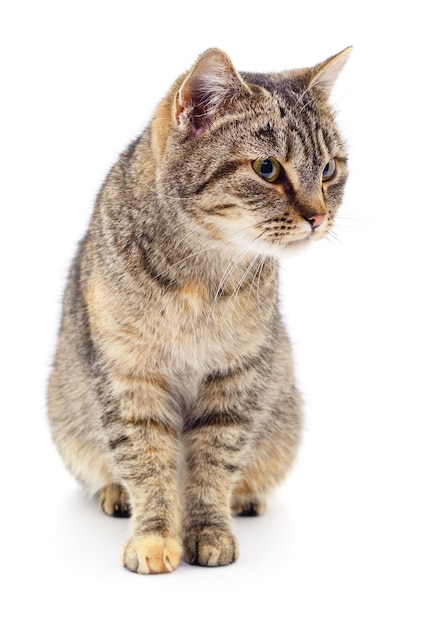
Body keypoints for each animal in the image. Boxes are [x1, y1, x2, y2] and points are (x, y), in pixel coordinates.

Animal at [48, 46, 352, 572]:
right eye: (267, 169)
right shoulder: (130, 377)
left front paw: (209, 530)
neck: (200, 276)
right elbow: (147, 462)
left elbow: (212, 463)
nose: (318, 217)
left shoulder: (235, 376)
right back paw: (115, 493)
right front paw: (154, 537)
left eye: (330, 169)